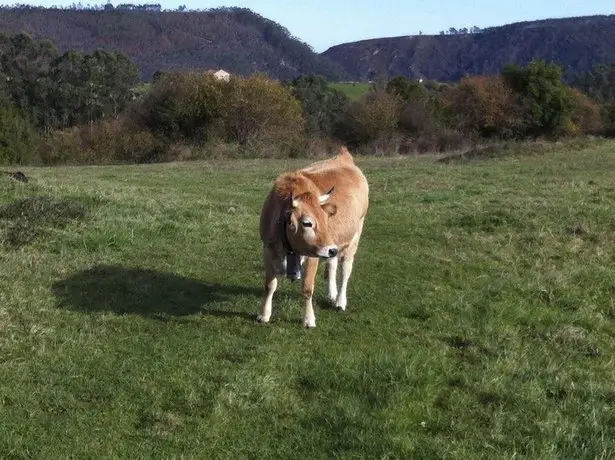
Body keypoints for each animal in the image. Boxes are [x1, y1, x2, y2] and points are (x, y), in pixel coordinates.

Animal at [256, 146, 368, 328]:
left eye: (325, 219)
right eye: (307, 223)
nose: (330, 249)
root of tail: (344, 157)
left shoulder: (313, 256)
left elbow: (308, 288)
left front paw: (308, 319)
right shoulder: (267, 248)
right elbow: (269, 285)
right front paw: (264, 314)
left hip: (354, 235)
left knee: (345, 269)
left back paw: (340, 301)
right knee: (332, 264)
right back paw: (332, 293)